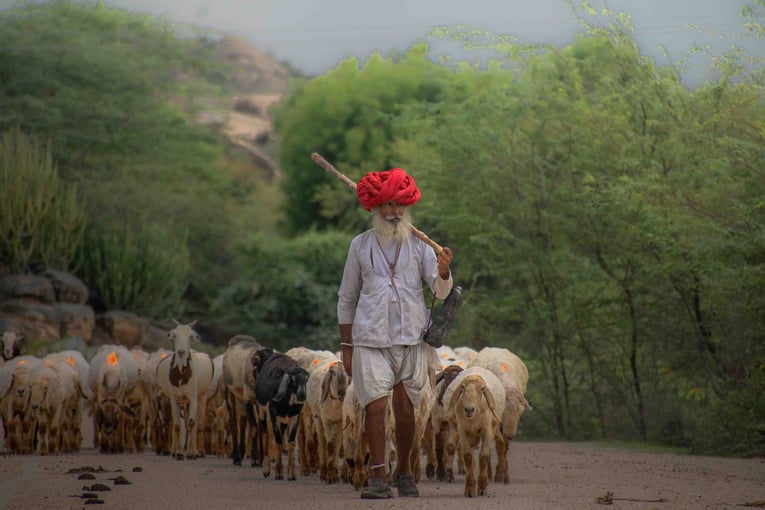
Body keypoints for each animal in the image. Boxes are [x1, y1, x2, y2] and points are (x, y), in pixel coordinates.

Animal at [254, 352, 308, 480]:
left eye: (306, 379)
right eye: (293, 379)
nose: (302, 395)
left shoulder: (295, 418)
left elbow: (291, 442)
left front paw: (291, 474)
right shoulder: (274, 417)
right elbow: (277, 441)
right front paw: (278, 473)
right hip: (261, 411)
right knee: (265, 434)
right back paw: (266, 469)